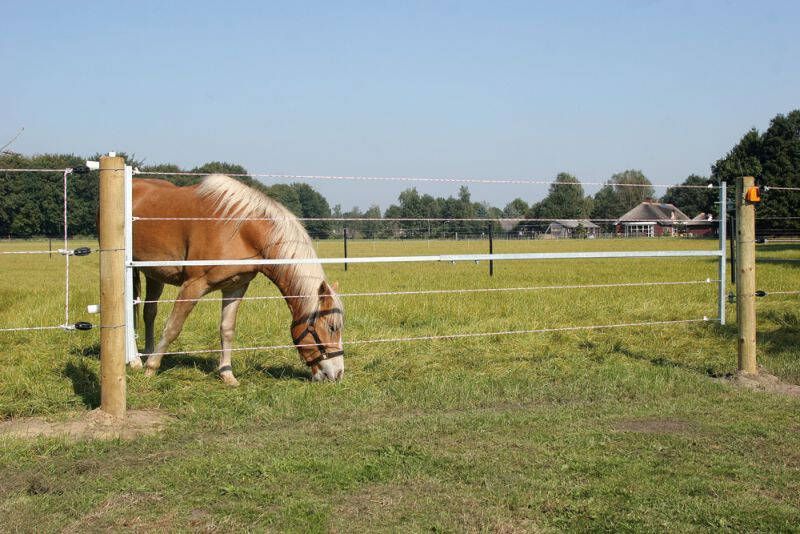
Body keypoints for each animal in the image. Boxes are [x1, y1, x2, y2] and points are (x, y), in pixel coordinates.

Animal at [131, 174, 344, 388]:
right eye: (332, 327)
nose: (337, 374)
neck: (240, 229)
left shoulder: (235, 287)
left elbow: (227, 329)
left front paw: (227, 375)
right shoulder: (193, 285)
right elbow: (173, 327)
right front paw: (151, 368)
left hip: (154, 274)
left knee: (148, 313)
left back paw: (146, 352)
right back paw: (136, 361)